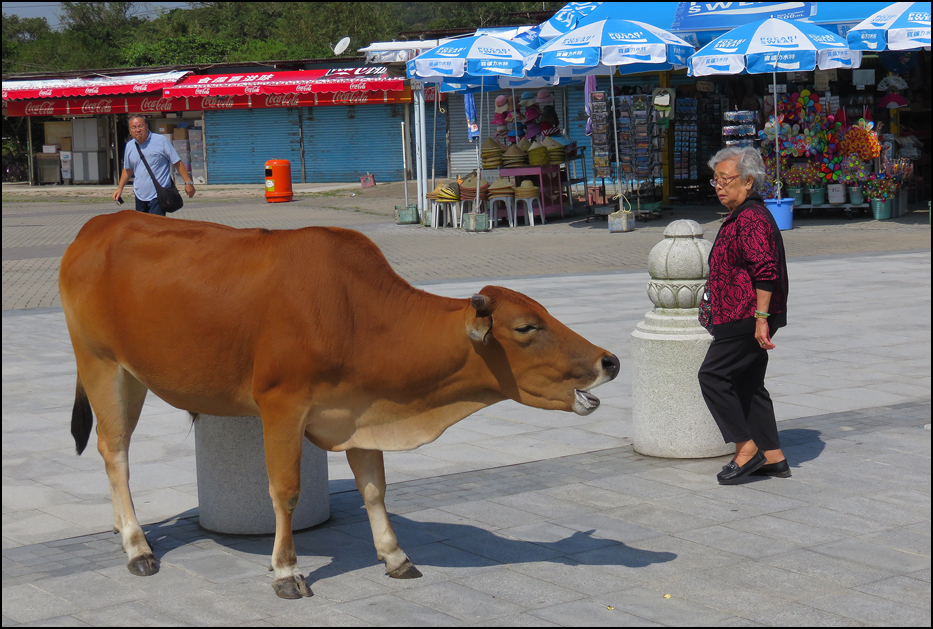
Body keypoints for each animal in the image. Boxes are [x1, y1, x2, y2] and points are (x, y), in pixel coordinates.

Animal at [56, 211, 612, 600]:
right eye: (526, 327)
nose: (610, 361)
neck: (356, 315)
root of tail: (95, 227)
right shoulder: (281, 404)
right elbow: (285, 491)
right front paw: (286, 570)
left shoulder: (360, 413)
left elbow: (374, 490)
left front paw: (395, 556)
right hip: (102, 363)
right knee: (115, 451)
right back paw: (136, 544)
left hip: (130, 374)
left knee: (113, 450)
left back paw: (121, 528)